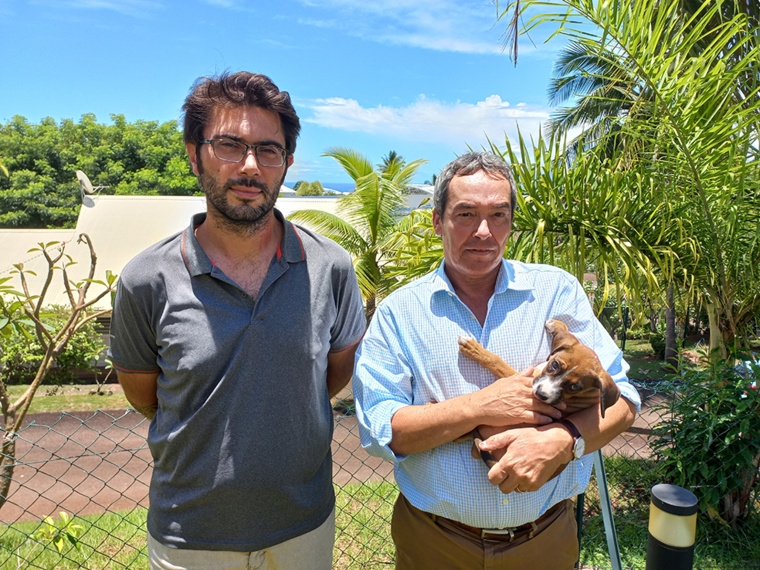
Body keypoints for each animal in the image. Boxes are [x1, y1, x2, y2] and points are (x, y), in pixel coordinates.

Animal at [458, 318, 616, 468]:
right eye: (555, 364)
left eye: (574, 387)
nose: (540, 395)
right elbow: (569, 334)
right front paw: (556, 324)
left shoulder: (520, 379)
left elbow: (498, 363)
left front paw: (474, 349)